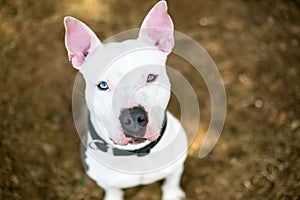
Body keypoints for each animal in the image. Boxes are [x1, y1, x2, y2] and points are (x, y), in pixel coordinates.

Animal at [64, 0, 188, 199]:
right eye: (103, 85)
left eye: (151, 77)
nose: (134, 118)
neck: (135, 154)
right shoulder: (102, 178)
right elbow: (112, 189)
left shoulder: (177, 165)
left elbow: (172, 180)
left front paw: (171, 193)